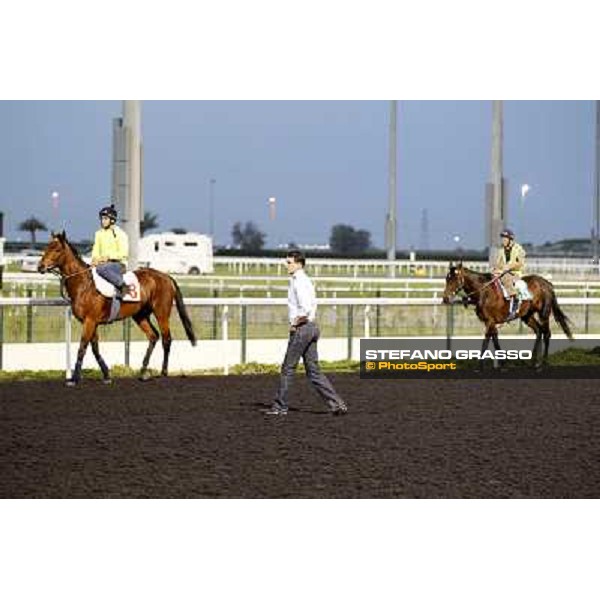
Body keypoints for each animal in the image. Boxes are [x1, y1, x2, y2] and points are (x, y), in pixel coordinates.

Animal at [37, 230, 197, 384]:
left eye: (57, 249)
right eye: (47, 247)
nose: (40, 267)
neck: (84, 285)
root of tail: (166, 276)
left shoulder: (90, 321)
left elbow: (82, 347)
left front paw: (75, 378)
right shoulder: (91, 322)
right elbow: (94, 348)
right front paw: (106, 375)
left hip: (161, 312)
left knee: (166, 339)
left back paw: (163, 372)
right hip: (140, 315)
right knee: (153, 336)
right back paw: (143, 372)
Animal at [442, 264, 576, 370]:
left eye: (454, 279)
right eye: (447, 278)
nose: (445, 298)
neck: (484, 292)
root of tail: (547, 283)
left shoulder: (490, 321)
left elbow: (486, 341)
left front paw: (480, 366)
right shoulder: (490, 322)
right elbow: (495, 340)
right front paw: (503, 363)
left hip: (543, 313)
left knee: (546, 333)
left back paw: (543, 363)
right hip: (527, 315)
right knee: (538, 331)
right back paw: (533, 362)